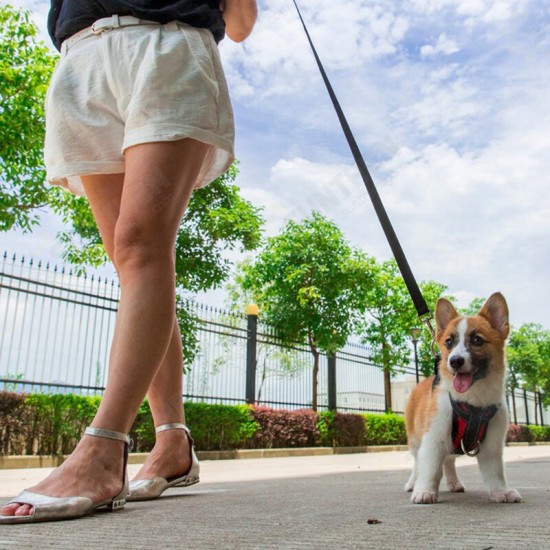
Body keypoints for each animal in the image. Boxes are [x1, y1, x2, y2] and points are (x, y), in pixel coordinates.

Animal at [406, 296, 520, 506]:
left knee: (448, 461)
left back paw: (454, 483)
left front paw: (501, 492)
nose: (455, 361)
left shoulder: (492, 443)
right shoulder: (433, 437)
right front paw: (424, 491)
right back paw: (412, 483)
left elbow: (496, 472)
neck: (473, 403)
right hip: (416, 440)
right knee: (418, 463)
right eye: (449, 342)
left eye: (477, 340)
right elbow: (430, 468)